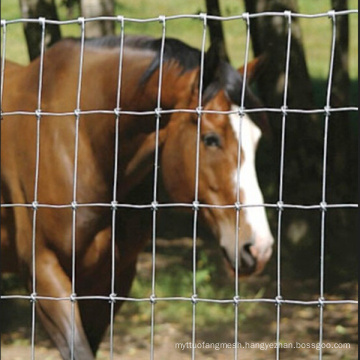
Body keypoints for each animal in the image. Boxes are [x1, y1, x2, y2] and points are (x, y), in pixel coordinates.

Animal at [1, 34, 274, 360]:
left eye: (256, 140)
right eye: (211, 139)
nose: (259, 248)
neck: (78, 140)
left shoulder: (110, 279)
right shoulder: (44, 273)